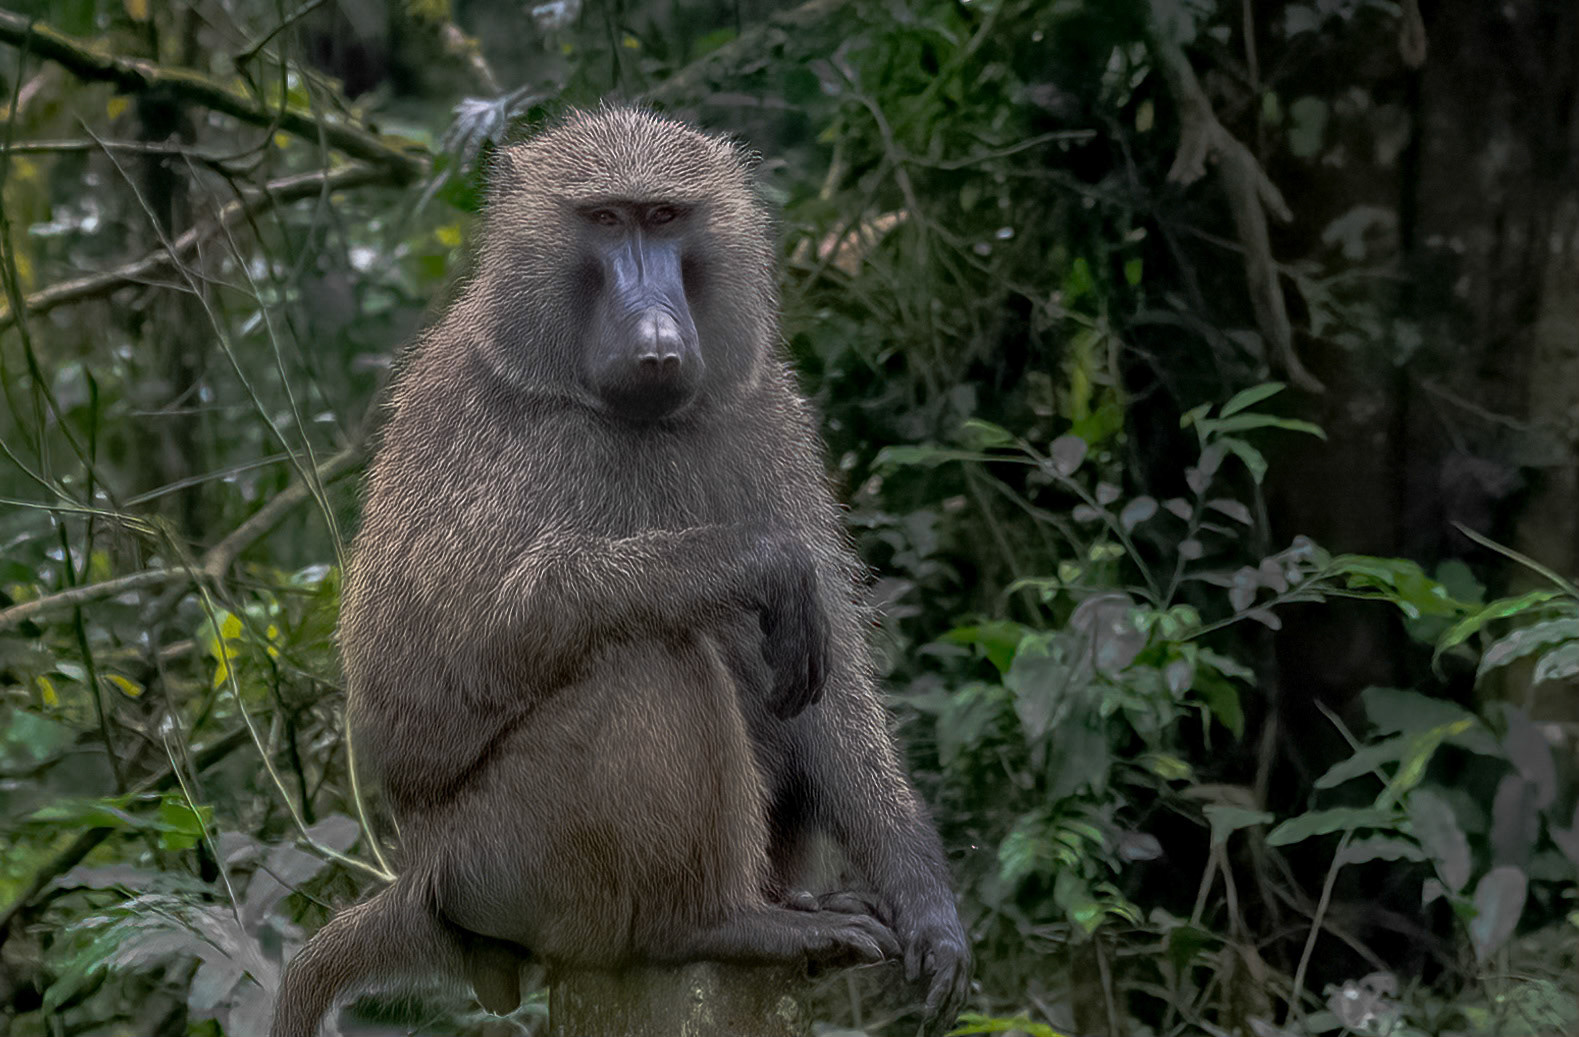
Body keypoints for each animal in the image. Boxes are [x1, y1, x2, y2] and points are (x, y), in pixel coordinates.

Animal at [270, 107, 970, 1037]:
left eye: (664, 217)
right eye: (605, 220)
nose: (657, 333)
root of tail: (425, 886)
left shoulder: (763, 413)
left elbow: (831, 681)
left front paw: (929, 909)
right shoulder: (480, 420)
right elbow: (446, 653)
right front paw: (759, 561)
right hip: (508, 866)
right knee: (652, 654)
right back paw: (718, 922)